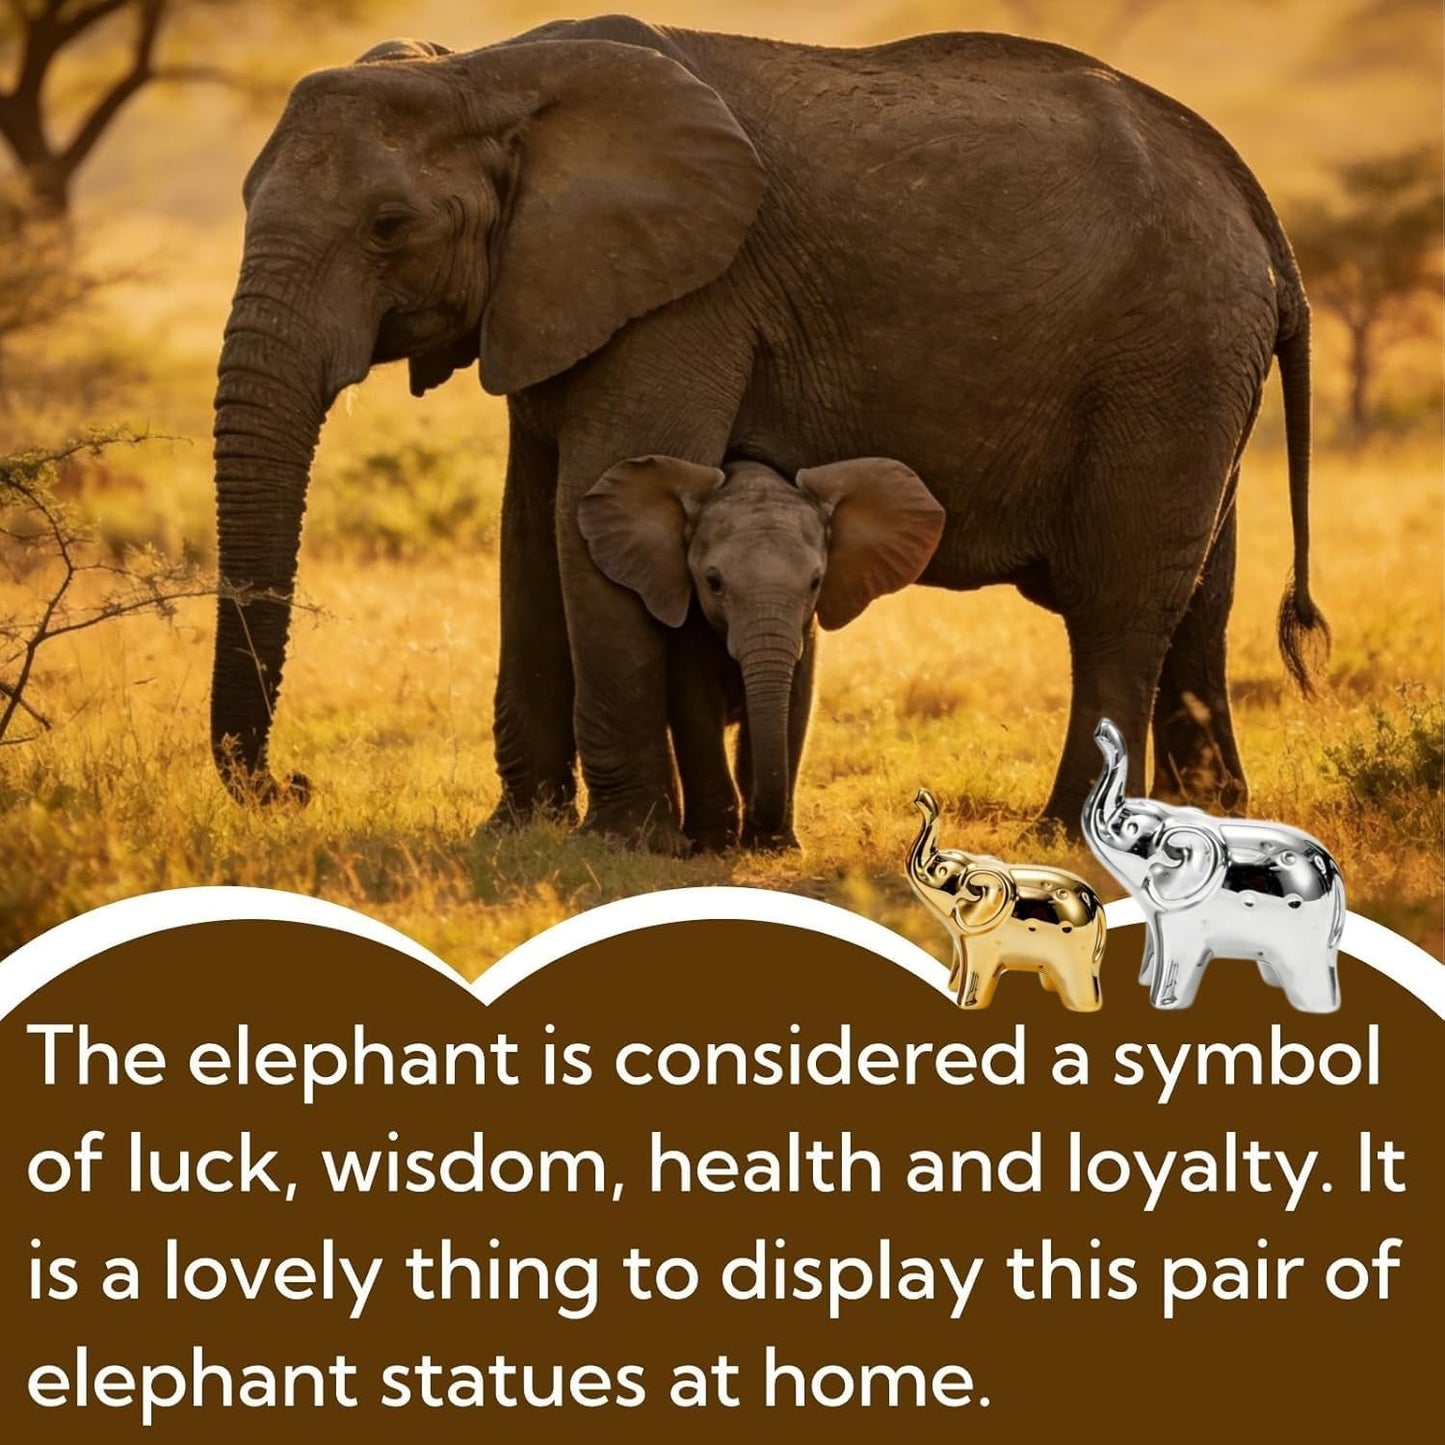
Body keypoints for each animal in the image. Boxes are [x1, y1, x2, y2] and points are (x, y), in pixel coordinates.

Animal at [578, 454, 944, 851]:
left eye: (816, 582)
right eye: (713, 582)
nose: (754, 809)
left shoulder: (804, 633)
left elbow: (795, 704)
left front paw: (773, 846)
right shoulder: (691, 624)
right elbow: (695, 706)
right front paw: (713, 844)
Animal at [908, 787, 1107, 1010]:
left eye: (941, 870)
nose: (920, 794)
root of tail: (1094, 901)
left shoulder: (984, 942)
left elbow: (979, 968)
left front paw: (967, 1005)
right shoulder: (964, 937)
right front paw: (951, 988)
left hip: (1074, 952)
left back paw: (1085, 1007)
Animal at [1082, 718, 1346, 1011]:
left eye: (1130, 828)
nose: (1102, 729)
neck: (1179, 821)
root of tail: (1332, 871)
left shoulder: (1186, 919)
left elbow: (1178, 954)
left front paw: (1164, 1004)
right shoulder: (1161, 912)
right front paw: (1144, 981)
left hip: (1304, 935)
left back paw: (1318, 1008)